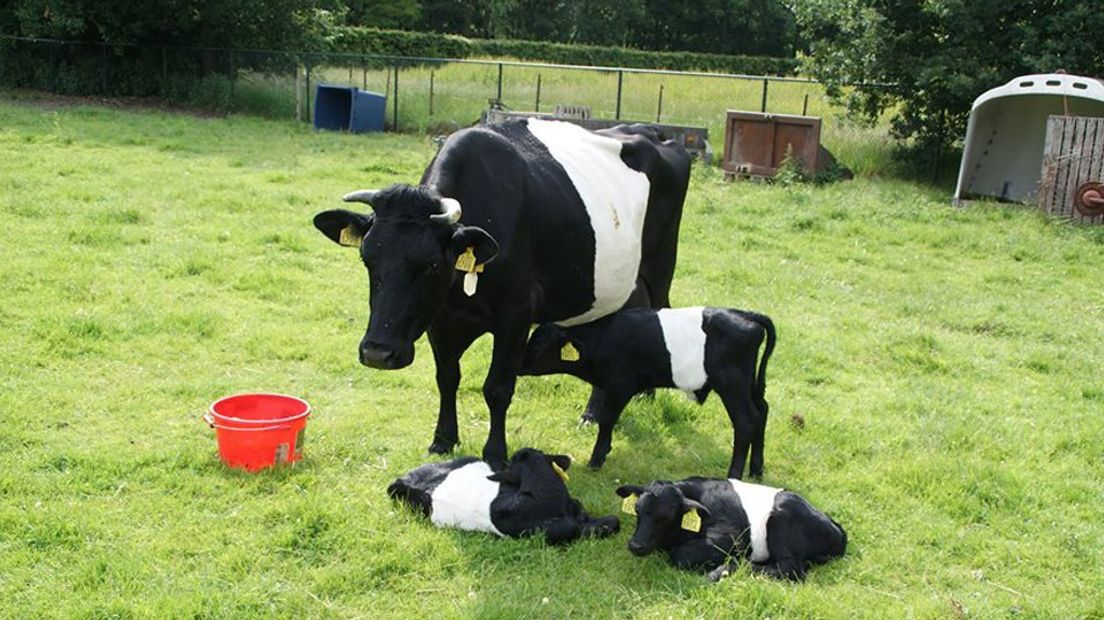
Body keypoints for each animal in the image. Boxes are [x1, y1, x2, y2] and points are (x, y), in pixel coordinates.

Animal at [313, 116, 688, 463]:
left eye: (431, 265)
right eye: (367, 259)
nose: (377, 352)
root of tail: (653, 131)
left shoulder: (517, 312)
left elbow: (497, 388)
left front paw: (495, 452)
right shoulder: (438, 317)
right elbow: (447, 377)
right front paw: (442, 440)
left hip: (659, 267)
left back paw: (647, 394)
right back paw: (594, 413)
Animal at [518, 306, 772, 474]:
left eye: (537, 343)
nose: (518, 365)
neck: (603, 336)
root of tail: (745, 314)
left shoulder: (620, 386)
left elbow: (607, 420)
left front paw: (596, 460)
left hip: (732, 386)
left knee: (746, 421)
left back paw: (734, 475)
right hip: (749, 385)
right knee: (762, 412)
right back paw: (756, 469)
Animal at [613, 478, 843, 578]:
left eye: (666, 516)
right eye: (637, 509)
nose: (636, 545)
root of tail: (837, 528)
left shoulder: (730, 537)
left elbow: (681, 555)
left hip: (780, 520)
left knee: (790, 569)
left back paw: (721, 571)